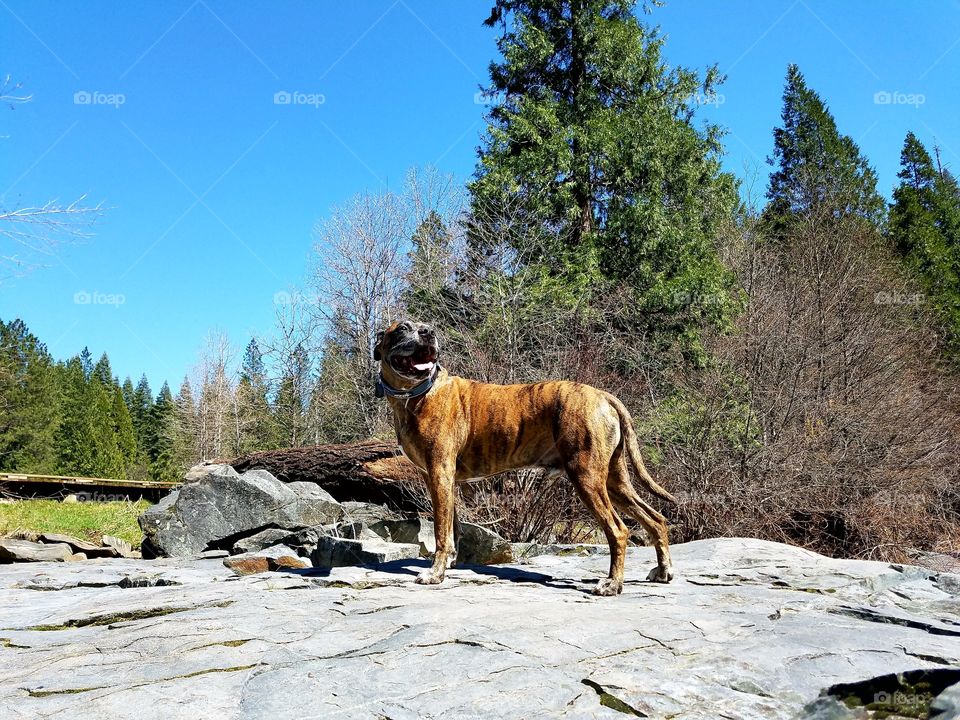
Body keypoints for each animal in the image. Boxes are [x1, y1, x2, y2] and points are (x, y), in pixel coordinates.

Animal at [376, 320, 676, 596]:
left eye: (426, 327)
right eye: (403, 328)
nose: (429, 333)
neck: (418, 393)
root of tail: (604, 395)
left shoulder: (440, 474)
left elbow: (440, 529)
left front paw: (434, 574)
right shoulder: (440, 480)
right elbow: (452, 527)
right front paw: (448, 563)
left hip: (587, 478)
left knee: (618, 530)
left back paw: (612, 583)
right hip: (614, 481)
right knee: (655, 519)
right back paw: (663, 571)